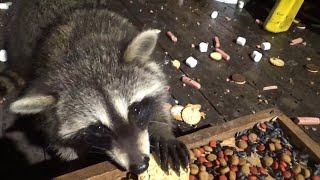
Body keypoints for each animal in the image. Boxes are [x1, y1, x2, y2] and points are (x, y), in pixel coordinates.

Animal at [6, 0, 188, 174]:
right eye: (99, 128)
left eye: (135, 110)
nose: (140, 166)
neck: (86, 59)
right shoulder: (50, 118)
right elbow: (61, 143)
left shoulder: (151, 68)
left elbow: (159, 99)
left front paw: (162, 130)